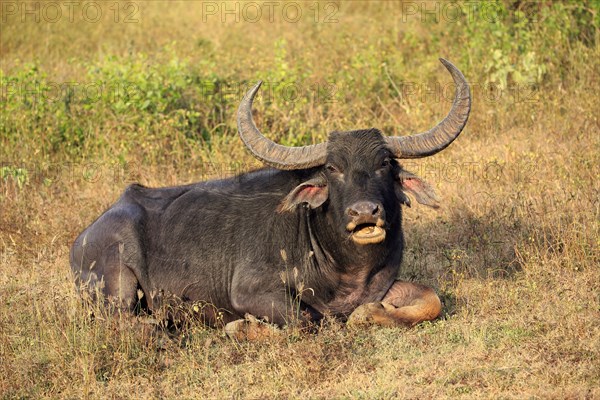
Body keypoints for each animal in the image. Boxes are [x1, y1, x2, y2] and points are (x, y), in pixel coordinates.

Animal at [70, 57, 472, 338]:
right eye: (333, 169)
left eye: (385, 164)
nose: (364, 213)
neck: (342, 266)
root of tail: (83, 239)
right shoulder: (252, 293)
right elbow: (306, 320)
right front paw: (242, 328)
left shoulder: (385, 285)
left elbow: (431, 299)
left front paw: (368, 314)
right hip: (118, 286)